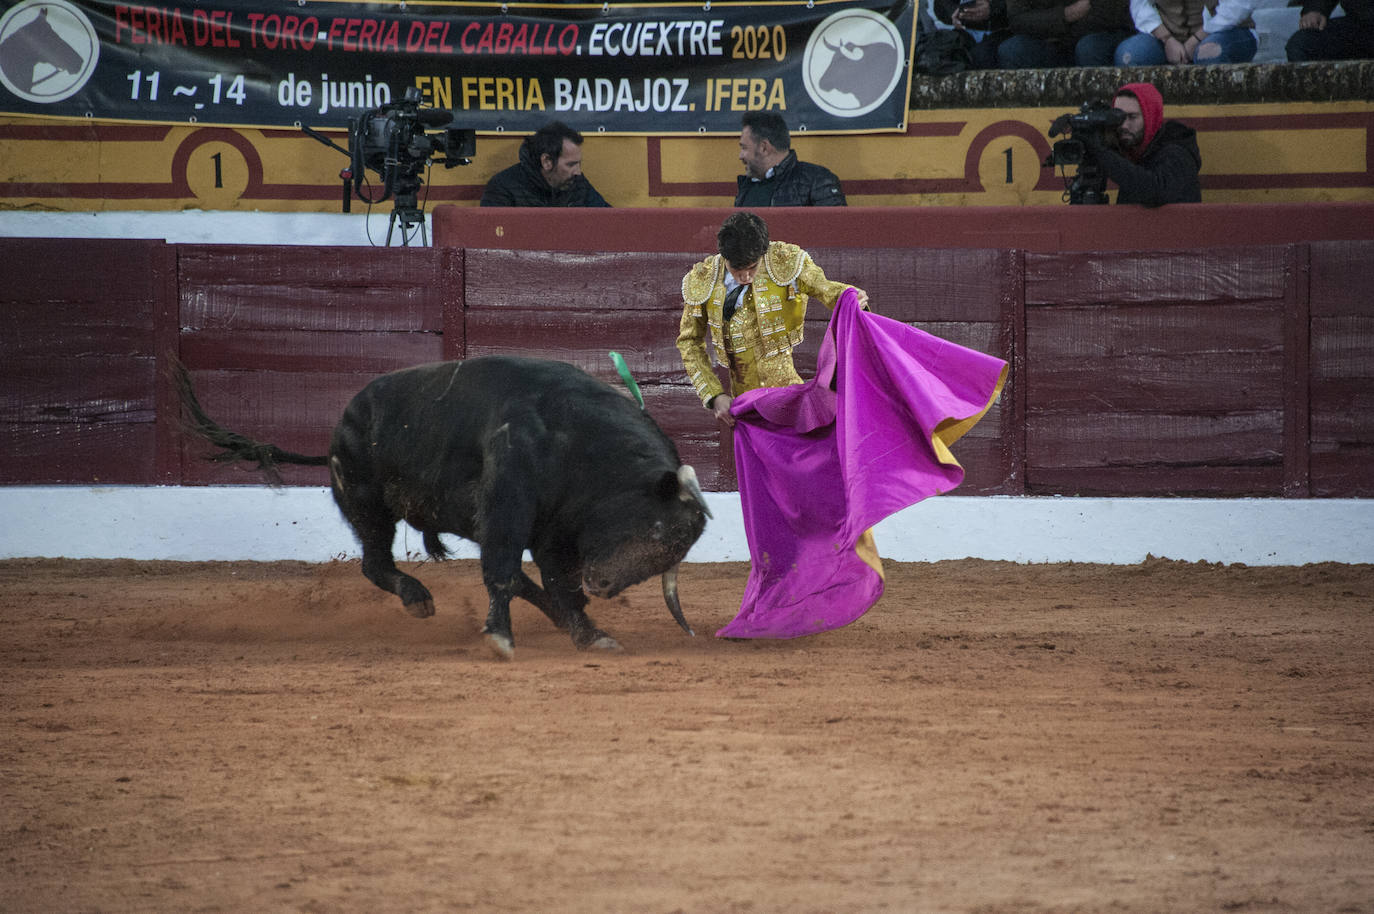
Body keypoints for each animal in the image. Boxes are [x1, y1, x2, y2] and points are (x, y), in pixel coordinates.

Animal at [174, 351, 708, 659]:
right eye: (657, 530)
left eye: (672, 549)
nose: (602, 585)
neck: (576, 441)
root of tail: (343, 418)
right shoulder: (508, 510)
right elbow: (505, 573)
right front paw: (501, 637)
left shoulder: (555, 533)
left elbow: (556, 585)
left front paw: (588, 634)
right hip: (368, 504)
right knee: (376, 562)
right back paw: (418, 599)